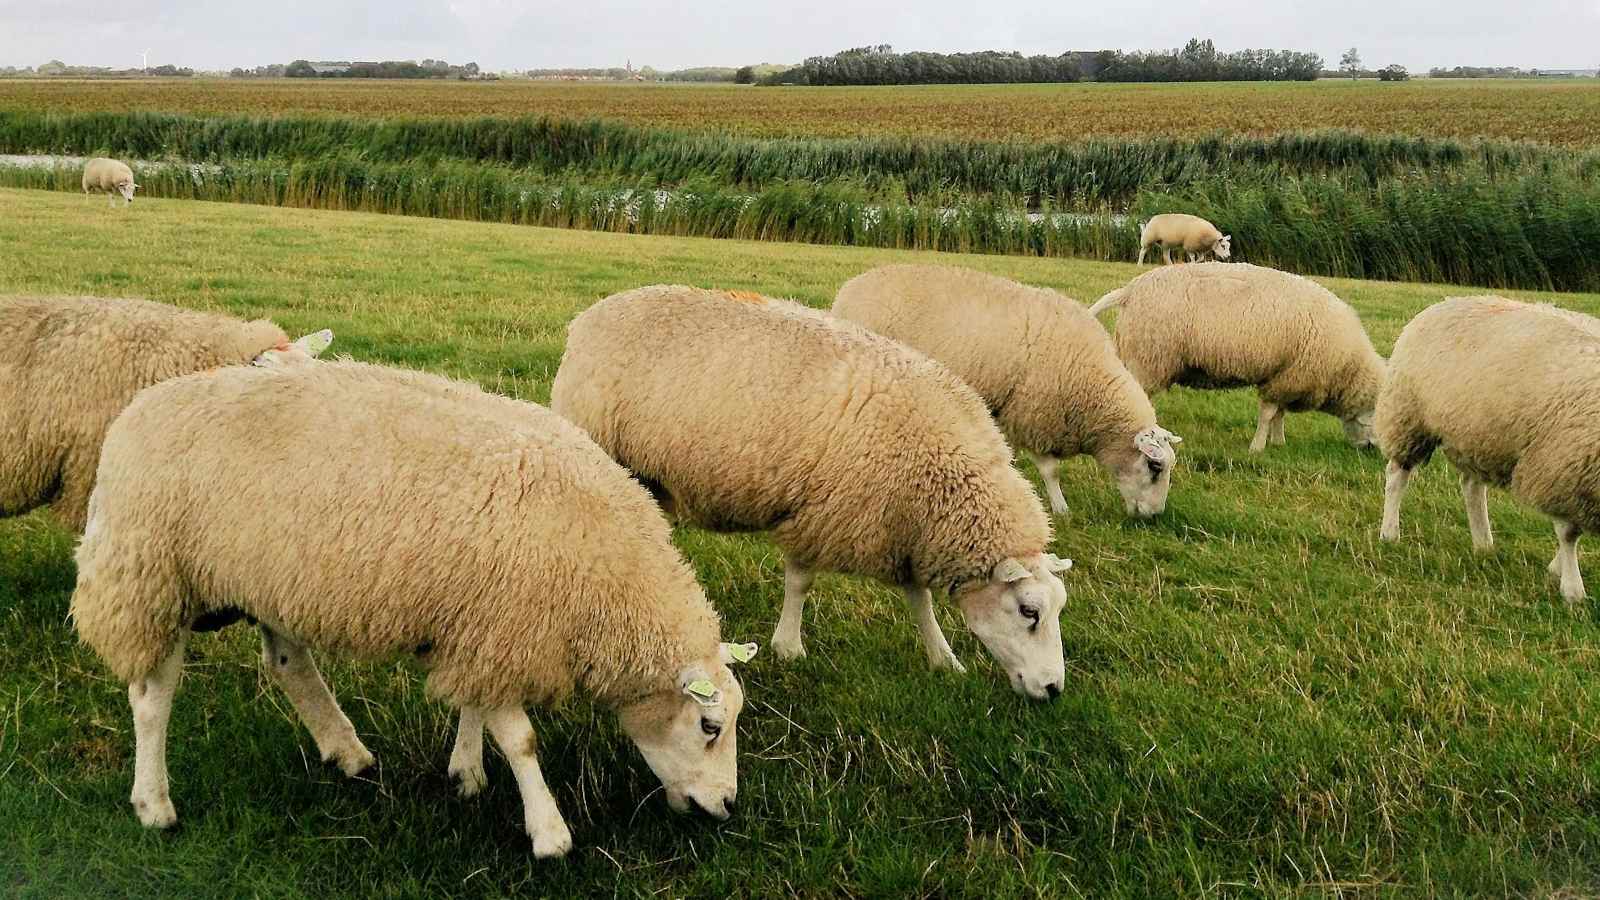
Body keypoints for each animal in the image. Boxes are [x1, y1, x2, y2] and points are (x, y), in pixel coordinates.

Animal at [70, 360, 759, 857]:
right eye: (709, 726)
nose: (727, 807)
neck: (610, 576)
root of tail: (138, 408)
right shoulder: (501, 624)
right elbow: (522, 739)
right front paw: (549, 831)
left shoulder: (480, 625)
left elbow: (475, 706)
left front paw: (466, 773)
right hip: (152, 574)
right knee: (152, 698)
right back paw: (154, 804)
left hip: (270, 577)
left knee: (289, 663)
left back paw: (347, 752)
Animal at [550, 285, 1073, 701]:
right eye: (1029, 612)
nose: (1053, 690)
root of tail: (588, 318)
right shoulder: (819, 512)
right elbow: (800, 582)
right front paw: (789, 647)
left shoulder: (903, 527)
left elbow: (919, 600)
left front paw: (943, 659)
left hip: (649, 476)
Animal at [832, 264, 1181, 519]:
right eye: (1155, 467)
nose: (1154, 516)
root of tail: (849, 288)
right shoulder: (1033, 415)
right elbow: (1051, 470)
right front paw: (1060, 508)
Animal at [1089, 263, 1385, 453]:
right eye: (1374, 414)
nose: (1372, 449)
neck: (1345, 367)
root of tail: (1130, 289)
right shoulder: (1285, 377)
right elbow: (1268, 414)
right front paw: (1257, 448)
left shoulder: (1286, 377)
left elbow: (1279, 414)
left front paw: (1279, 442)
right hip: (1149, 357)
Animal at [1375, 296, 1600, 605]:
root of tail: (1441, 303)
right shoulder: (1563, 468)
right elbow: (1569, 533)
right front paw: (1572, 587)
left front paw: (1557, 570)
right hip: (1408, 417)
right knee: (1397, 476)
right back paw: (1390, 532)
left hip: (1476, 436)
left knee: (1471, 487)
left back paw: (1483, 543)